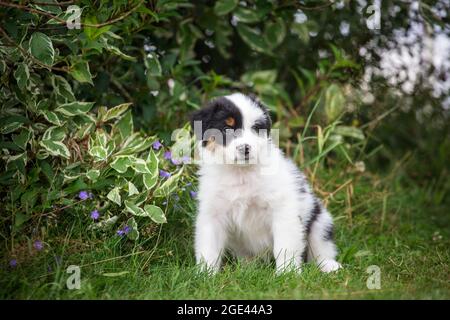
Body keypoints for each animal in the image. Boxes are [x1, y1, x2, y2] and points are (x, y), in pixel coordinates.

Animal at [190, 94, 342, 274]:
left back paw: (329, 266)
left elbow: (285, 246)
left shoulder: (283, 210)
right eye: (227, 127)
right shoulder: (213, 214)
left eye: (256, 128)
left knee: (321, 249)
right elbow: (209, 248)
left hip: (320, 222)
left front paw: (287, 274)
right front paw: (205, 274)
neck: (241, 172)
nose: (246, 148)